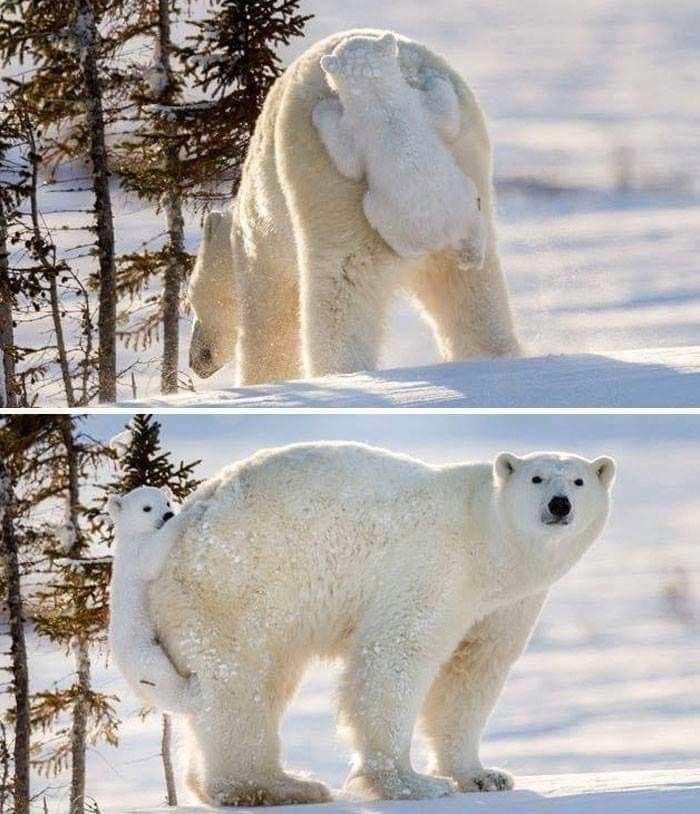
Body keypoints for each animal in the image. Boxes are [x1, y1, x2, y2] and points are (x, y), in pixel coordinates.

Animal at [108, 485, 202, 715]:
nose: (168, 514)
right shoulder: (137, 553)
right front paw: (194, 510)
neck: (130, 536)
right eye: (146, 508)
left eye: (166, 502)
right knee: (161, 676)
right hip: (141, 650)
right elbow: (152, 557)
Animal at [147, 443, 616, 806]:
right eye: (537, 478)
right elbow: (397, 654)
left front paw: (484, 776)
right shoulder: (434, 566)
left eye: (579, 481)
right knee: (240, 684)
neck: (490, 543)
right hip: (234, 588)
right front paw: (413, 783)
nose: (559, 505)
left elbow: (472, 673)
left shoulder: (506, 603)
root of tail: (185, 522)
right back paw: (276, 786)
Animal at [313, 33, 485, 263]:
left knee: (374, 212)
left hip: (393, 218)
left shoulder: (358, 128)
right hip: (463, 200)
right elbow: (447, 118)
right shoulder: (418, 105)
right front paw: (431, 76)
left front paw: (322, 108)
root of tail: (446, 233)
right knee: (474, 209)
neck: (381, 101)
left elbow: (349, 164)